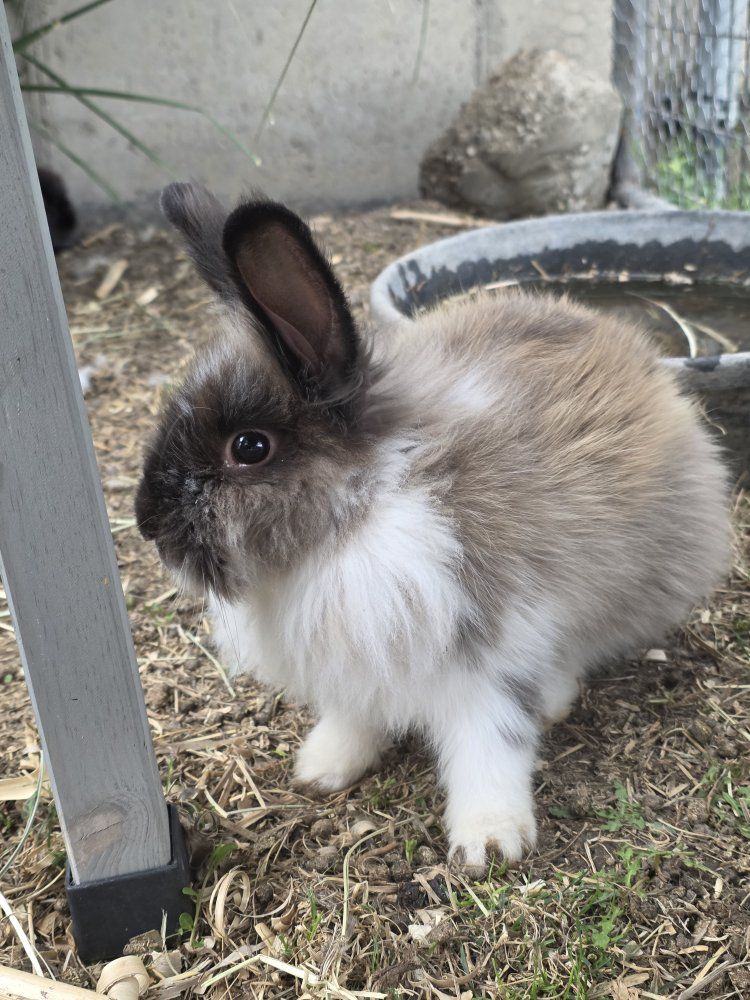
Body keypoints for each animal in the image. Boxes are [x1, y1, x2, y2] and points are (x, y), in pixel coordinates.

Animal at [136, 181, 731, 866]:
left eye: (249, 447)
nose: (145, 522)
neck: (355, 519)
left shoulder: (491, 651)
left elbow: (491, 745)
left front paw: (490, 842)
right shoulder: (356, 667)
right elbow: (355, 717)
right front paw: (322, 768)